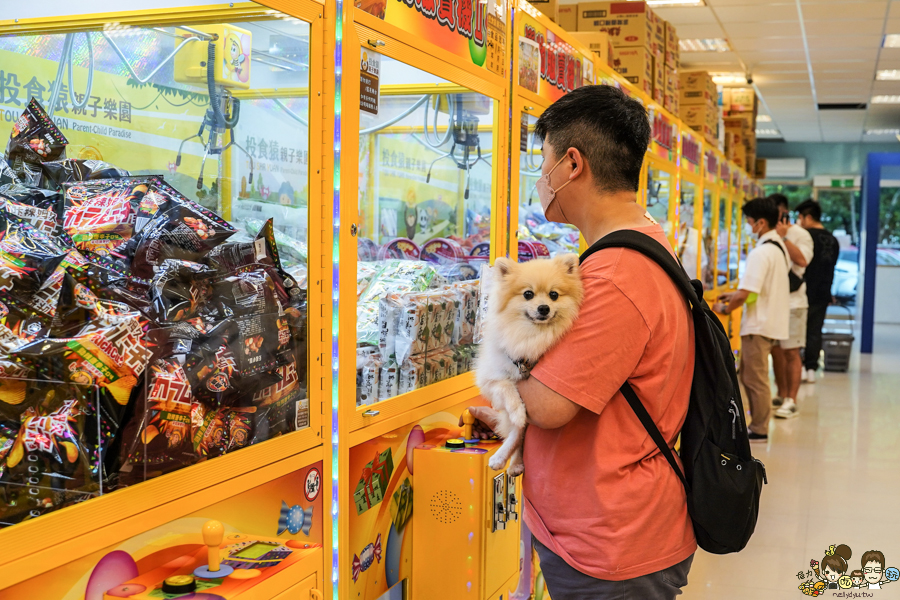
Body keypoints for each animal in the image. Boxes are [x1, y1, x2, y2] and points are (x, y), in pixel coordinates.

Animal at [478, 255, 584, 476]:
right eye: (528, 294)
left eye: (554, 295)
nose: (543, 308)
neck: (531, 333)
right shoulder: (490, 378)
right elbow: (507, 387)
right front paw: (518, 411)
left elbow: (519, 425)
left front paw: (519, 416)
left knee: (519, 434)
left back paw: (510, 461)